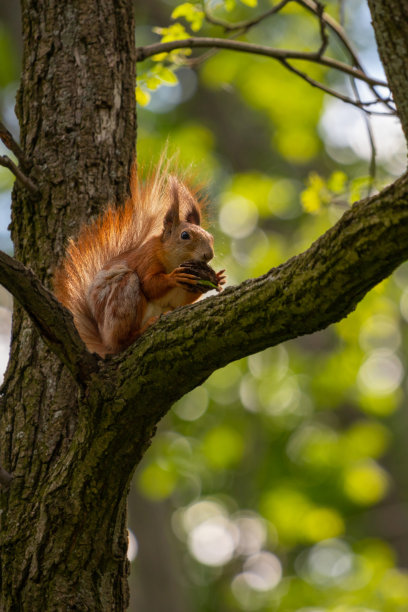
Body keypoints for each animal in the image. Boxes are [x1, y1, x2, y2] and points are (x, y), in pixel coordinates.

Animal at [53, 161, 225, 358]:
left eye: (211, 237)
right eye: (184, 235)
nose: (208, 255)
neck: (174, 261)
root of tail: (105, 342)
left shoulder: (177, 297)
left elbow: (181, 300)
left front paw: (217, 278)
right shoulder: (147, 259)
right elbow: (150, 285)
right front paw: (174, 277)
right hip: (123, 296)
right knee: (122, 340)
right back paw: (140, 331)